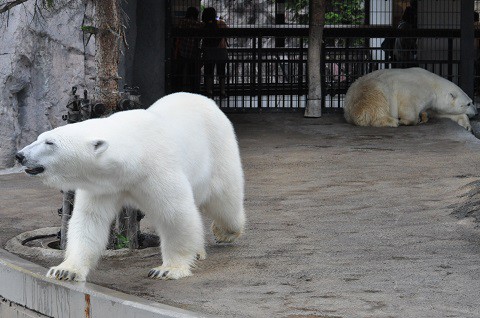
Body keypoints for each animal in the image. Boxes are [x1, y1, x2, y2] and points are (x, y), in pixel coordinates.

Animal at [16, 92, 246, 280]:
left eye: (50, 143)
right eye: (39, 137)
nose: (20, 155)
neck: (134, 156)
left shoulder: (157, 170)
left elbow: (175, 213)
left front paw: (168, 269)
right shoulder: (103, 185)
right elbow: (90, 219)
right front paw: (65, 270)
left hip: (218, 150)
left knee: (224, 199)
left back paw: (224, 231)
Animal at [344, 67, 476, 131]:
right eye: (468, 103)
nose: (476, 112)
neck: (434, 85)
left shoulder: (432, 105)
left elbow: (439, 113)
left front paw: (467, 126)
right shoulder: (415, 89)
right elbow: (408, 103)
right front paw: (406, 121)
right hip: (373, 89)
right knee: (377, 103)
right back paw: (392, 121)